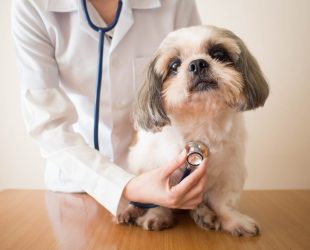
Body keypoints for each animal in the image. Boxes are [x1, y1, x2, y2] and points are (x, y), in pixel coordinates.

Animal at [116, 24, 268, 236]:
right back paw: (129, 212)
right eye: (174, 65)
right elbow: (157, 201)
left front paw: (233, 220)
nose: (197, 64)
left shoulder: (229, 171)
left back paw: (204, 215)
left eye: (219, 54)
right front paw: (157, 216)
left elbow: (224, 202)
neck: (200, 119)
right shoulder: (154, 169)